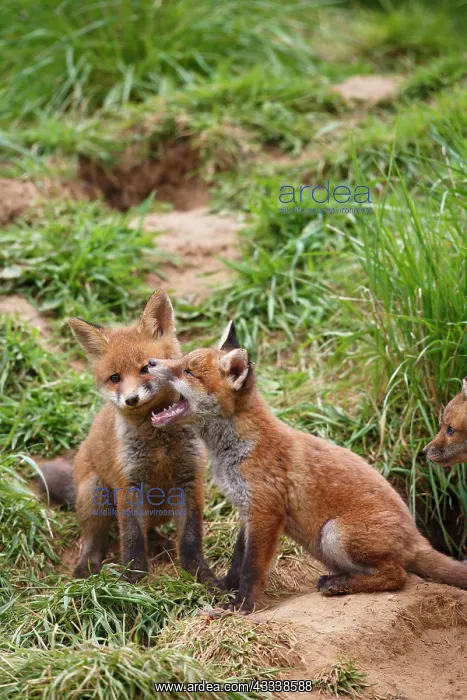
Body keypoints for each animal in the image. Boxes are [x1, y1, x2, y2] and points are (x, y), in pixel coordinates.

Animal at [36, 290, 213, 583]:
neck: (159, 444)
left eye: (146, 368)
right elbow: (131, 539)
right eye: (115, 378)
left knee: (149, 530)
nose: (131, 399)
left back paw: (158, 542)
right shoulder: (128, 485)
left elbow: (191, 538)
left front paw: (200, 574)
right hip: (95, 494)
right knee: (94, 539)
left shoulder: (190, 481)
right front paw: (133, 579)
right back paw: (87, 566)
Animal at [146, 321, 467, 612]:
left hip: (334, 534)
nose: (150, 362)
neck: (235, 452)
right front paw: (224, 586)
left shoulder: (266, 513)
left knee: (398, 576)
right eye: (182, 360)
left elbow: (252, 569)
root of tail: (417, 537)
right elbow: (238, 561)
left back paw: (338, 584)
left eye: (188, 370)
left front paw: (242, 606)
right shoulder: (247, 511)